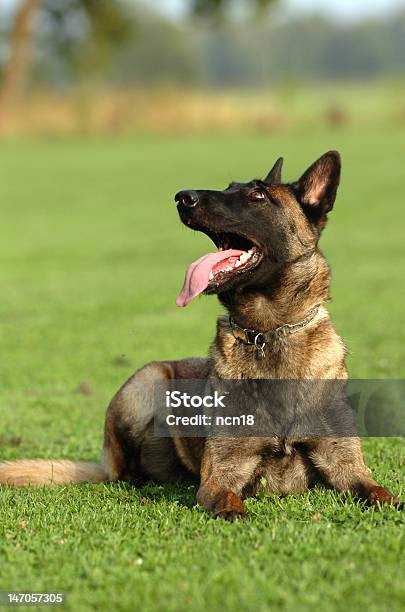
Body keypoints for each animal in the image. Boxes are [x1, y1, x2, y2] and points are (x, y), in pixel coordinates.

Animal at [0, 151, 400, 520]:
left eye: (257, 195)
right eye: (228, 186)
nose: (183, 197)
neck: (270, 332)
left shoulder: (346, 465)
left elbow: (379, 492)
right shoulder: (221, 475)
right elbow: (229, 502)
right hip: (148, 380)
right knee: (121, 472)